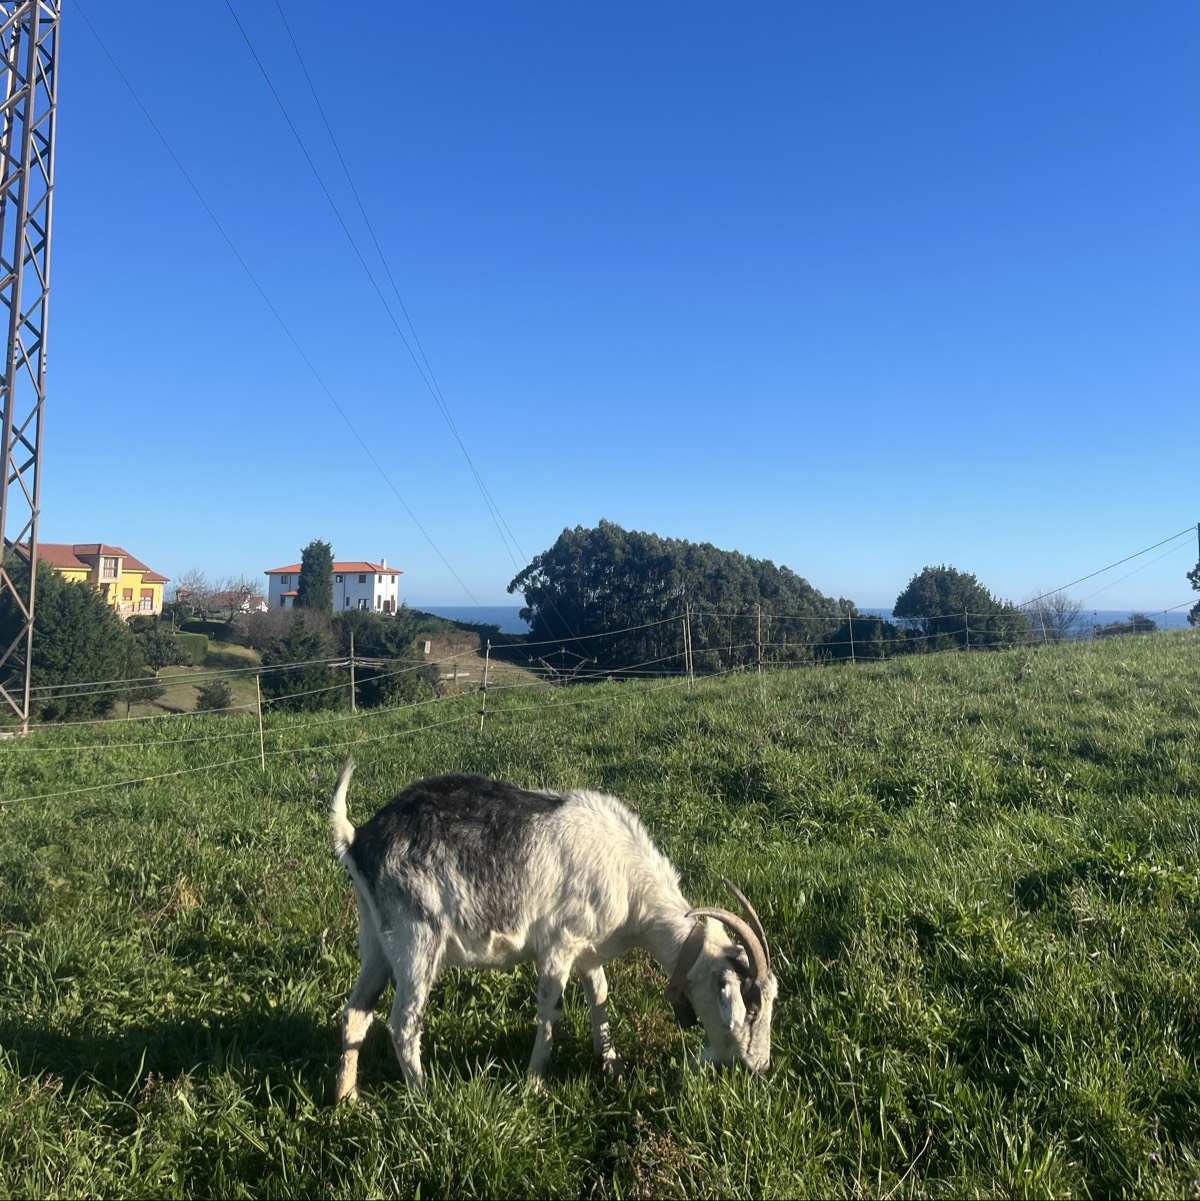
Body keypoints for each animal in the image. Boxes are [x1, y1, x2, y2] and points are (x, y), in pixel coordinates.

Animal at [329, 760, 778, 1097]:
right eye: (751, 1008)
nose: (760, 1065)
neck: (628, 880)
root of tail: (357, 839)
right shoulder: (560, 944)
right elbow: (551, 1012)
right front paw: (535, 1084)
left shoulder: (589, 949)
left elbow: (600, 998)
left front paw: (611, 1065)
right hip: (416, 940)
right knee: (403, 1023)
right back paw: (425, 1097)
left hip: (375, 939)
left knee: (356, 1012)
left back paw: (346, 1099)